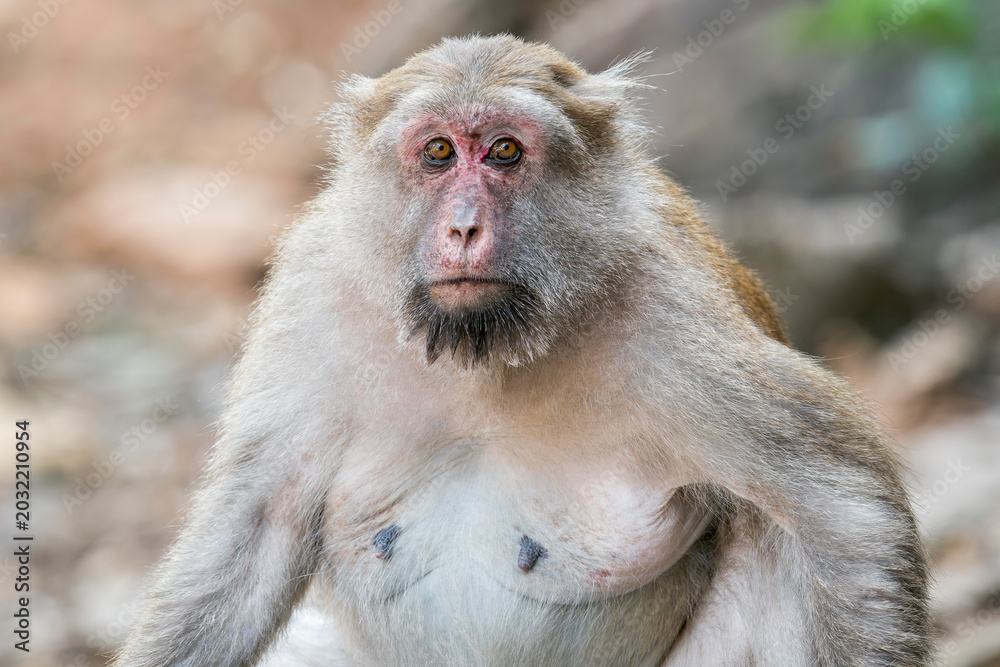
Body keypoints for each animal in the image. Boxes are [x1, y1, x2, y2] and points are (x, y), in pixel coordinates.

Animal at [113, 35, 931, 667]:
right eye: (439, 152)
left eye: (504, 151)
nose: (464, 227)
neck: (486, 354)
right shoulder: (314, 290)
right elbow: (252, 533)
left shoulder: (673, 310)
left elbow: (843, 509)